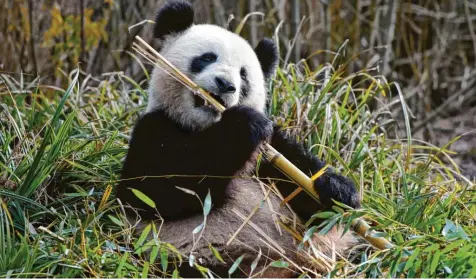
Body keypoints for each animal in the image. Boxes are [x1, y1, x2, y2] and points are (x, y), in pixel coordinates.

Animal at [117, 1, 358, 278]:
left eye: (243, 75)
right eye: (207, 57)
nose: (225, 84)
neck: (202, 127)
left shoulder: (270, 150)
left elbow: (306, 198)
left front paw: (337, 189)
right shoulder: (154, 128)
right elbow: (154, 192)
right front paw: (243, 124)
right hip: (195, 259)